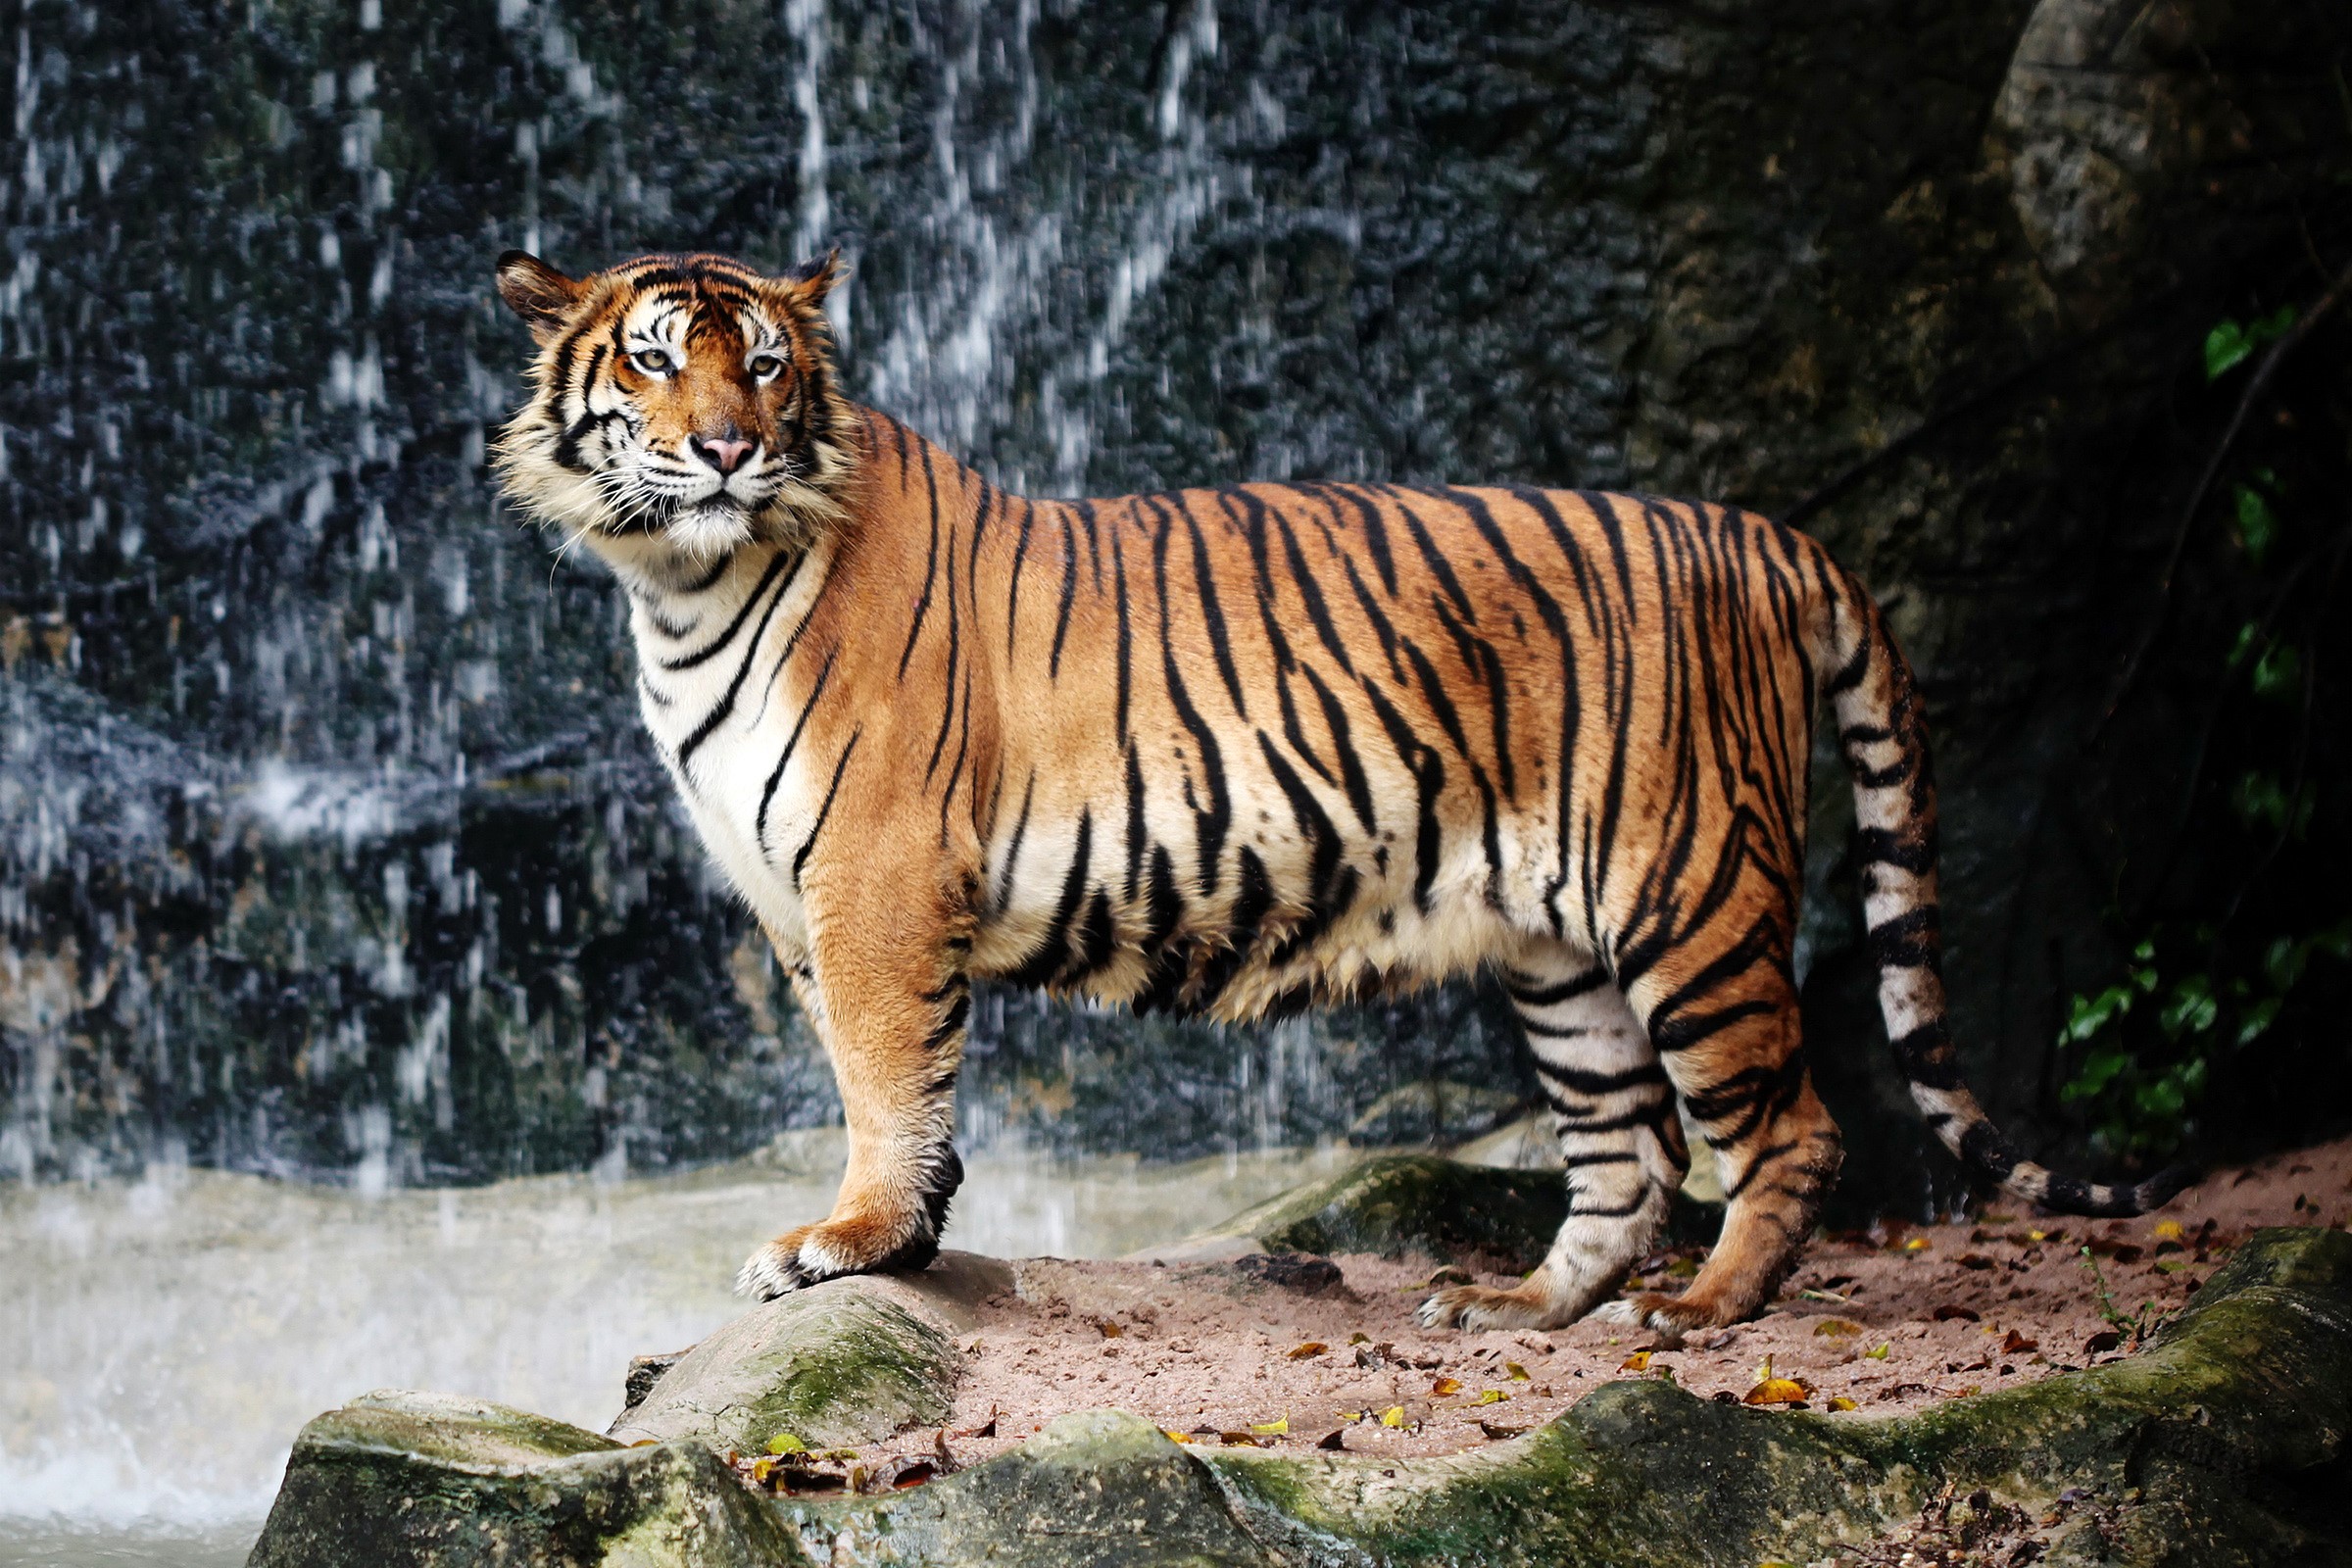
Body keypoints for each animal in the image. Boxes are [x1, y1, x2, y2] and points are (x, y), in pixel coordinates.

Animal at [491, 247, 2187, 1340]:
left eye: (769, 364)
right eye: (654, 354)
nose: (728, 447)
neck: (682, 584)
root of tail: (1760, 531)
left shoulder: (878, 877)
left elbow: (883, 1080)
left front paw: (849, 1245)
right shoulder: (799, 900)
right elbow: (893, 1077)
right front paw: (906, 1240)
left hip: (1690, 896)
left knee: (1787, 1131)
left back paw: (1707, 1311)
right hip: (1560, 950)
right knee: (1625, 1149)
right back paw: (1521, 1306)